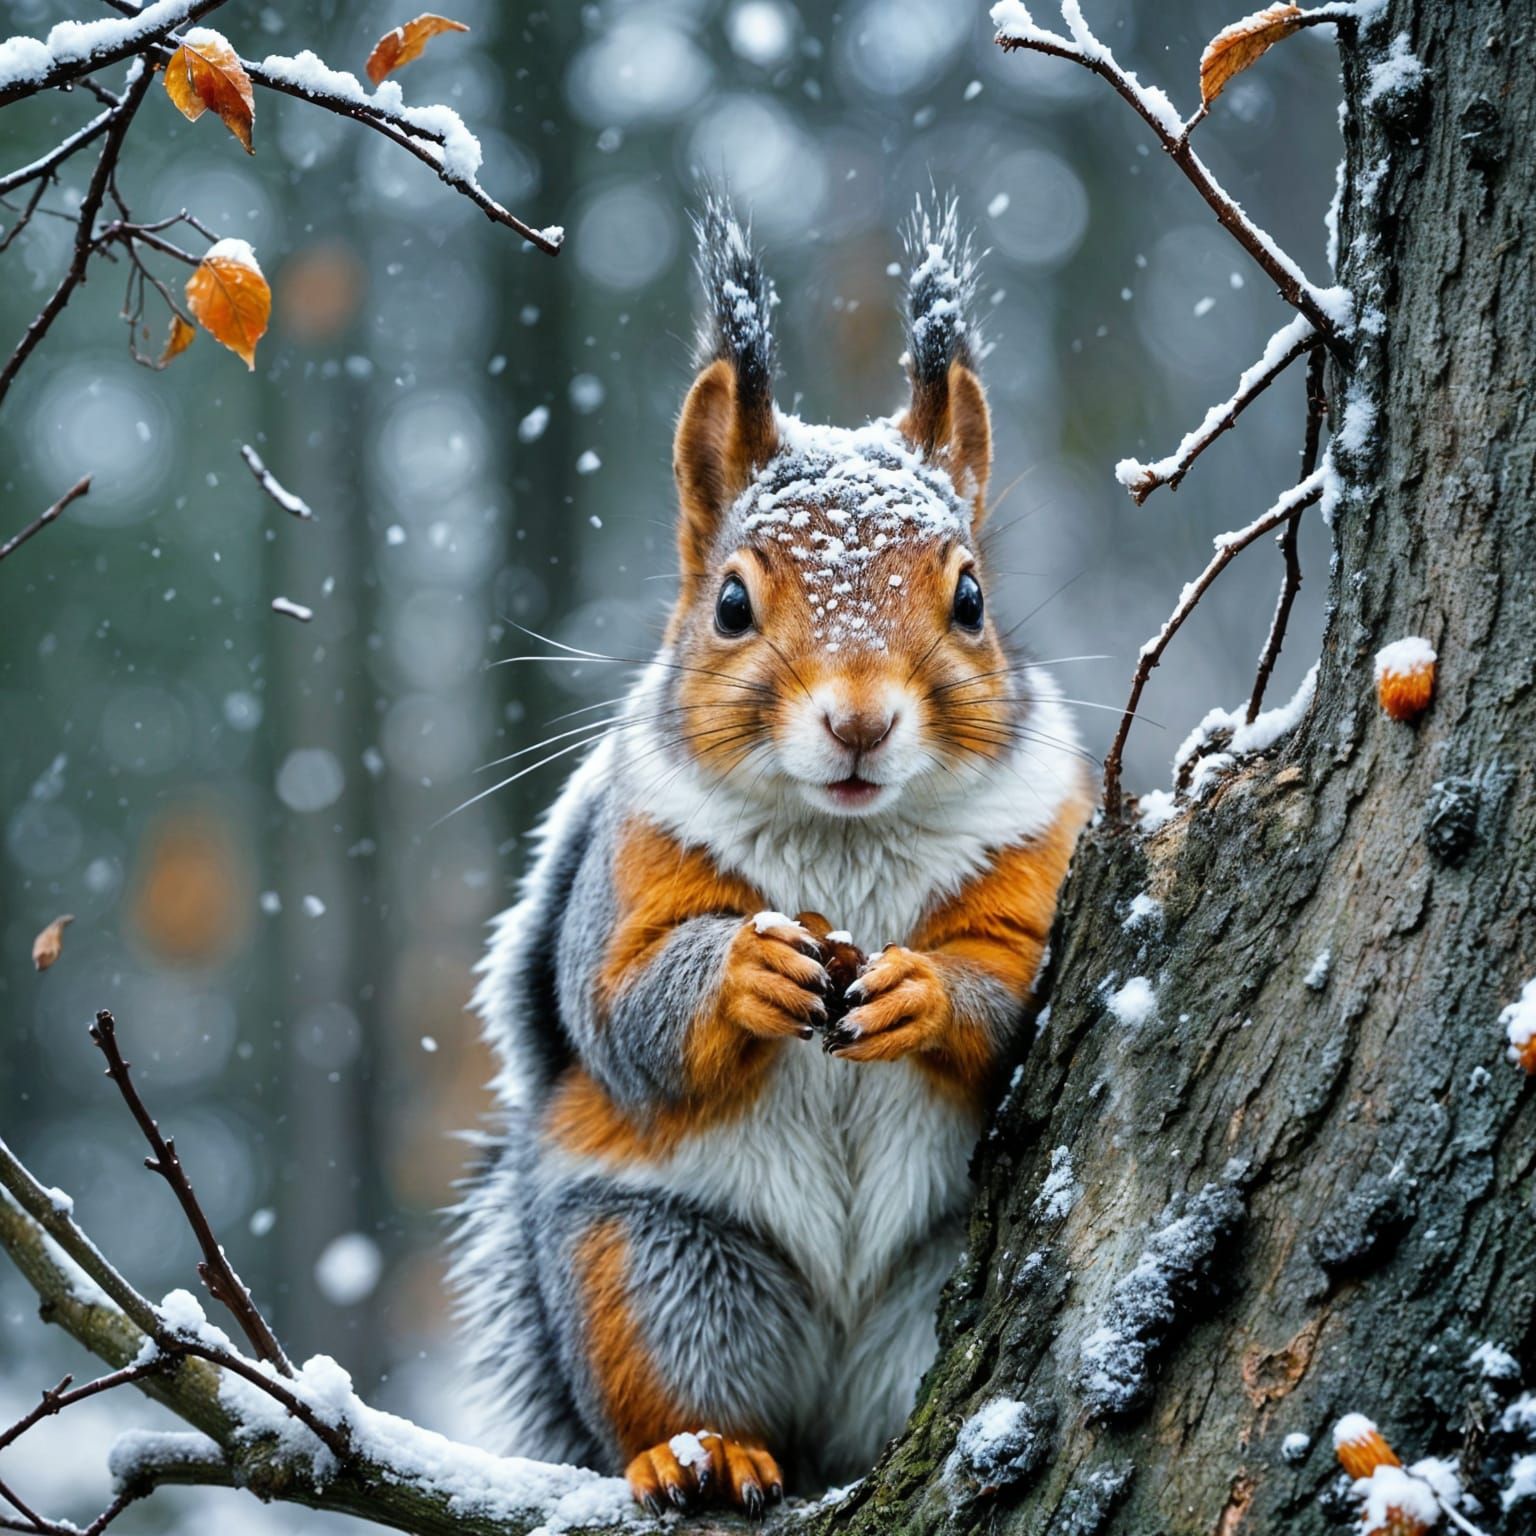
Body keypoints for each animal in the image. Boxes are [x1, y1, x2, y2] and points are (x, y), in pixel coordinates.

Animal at [451, 194, 1091, 1518]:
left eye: (971, 601)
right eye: (733, 606)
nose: (859, 721)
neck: (843, 838)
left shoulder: (1040, 855)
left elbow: (1018, 986)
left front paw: (918, 989)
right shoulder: (632, 870)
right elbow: (623, 1002)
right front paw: (749, 973)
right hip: (648, 1263)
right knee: (685, 1386)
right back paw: (700, 1455)